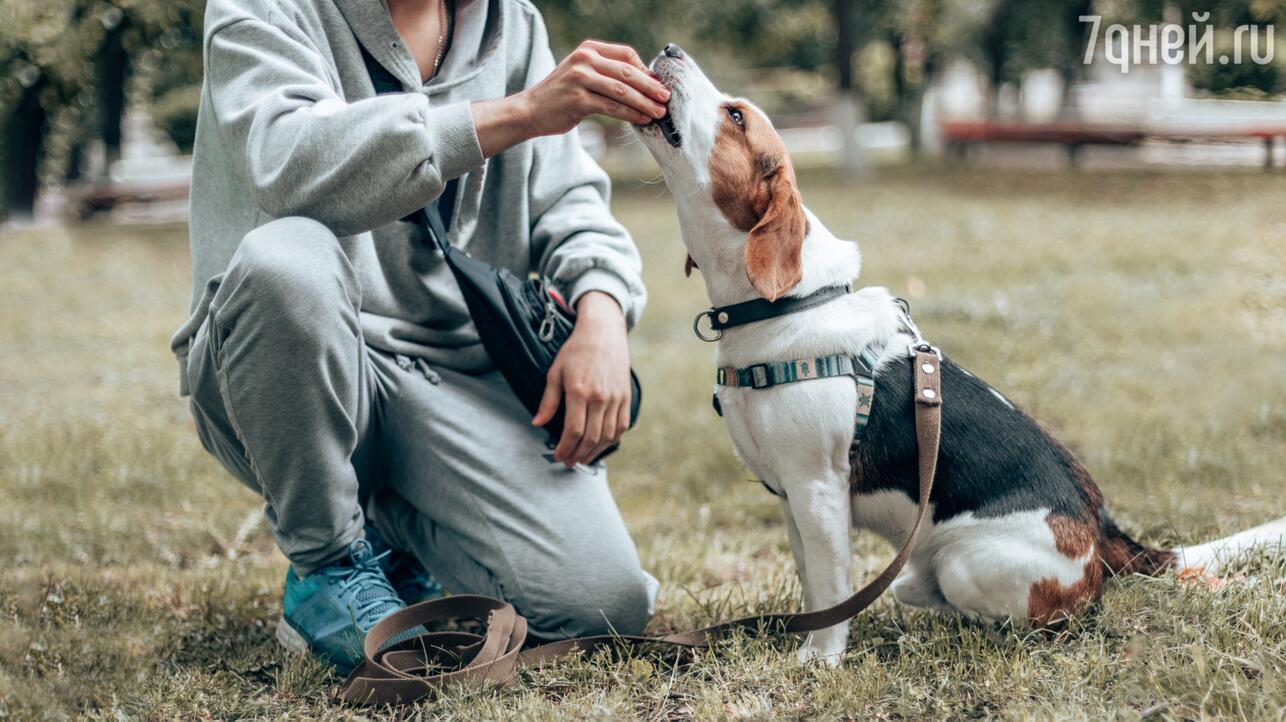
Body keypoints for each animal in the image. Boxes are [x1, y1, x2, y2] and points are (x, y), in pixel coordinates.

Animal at [635, 43, 1286, 664]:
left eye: (735, 116)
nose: (668, 48)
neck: (784, 305)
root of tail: (1102, 532)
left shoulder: (818, 493)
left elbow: (833, 590)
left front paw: (820, 658)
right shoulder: (793, 501)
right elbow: (817, 586)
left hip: (966, 562)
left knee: (1034, 618)